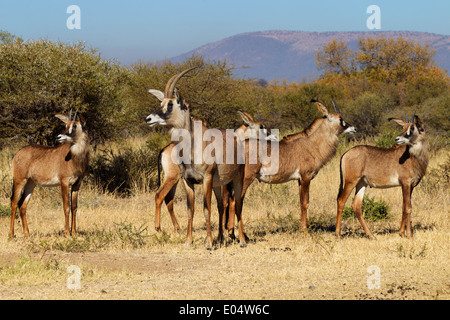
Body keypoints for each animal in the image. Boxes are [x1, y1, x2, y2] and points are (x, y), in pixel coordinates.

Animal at [9, 111, 89, 239]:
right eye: (66, 125)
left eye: (74, 125)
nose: (59, 137)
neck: (75, 157)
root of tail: (17, 153)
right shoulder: (64, 182)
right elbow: (66, 207)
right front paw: (67, 233)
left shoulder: (77, 184)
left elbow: (74, 207)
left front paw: (74, 233)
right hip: (19, 180)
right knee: (14, 202)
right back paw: (11, 234)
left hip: (31, 184)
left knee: (22, 205)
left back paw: (27, 234)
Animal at [232, 97, 356, 235]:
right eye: (340, 119)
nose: (353, 128)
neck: (312, 143)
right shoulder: (306, 177)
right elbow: (305, 202)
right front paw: (305, 230)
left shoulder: (299, 180)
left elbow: (301, 202)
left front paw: (301, 228)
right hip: (246, 178)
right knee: (237, 201)